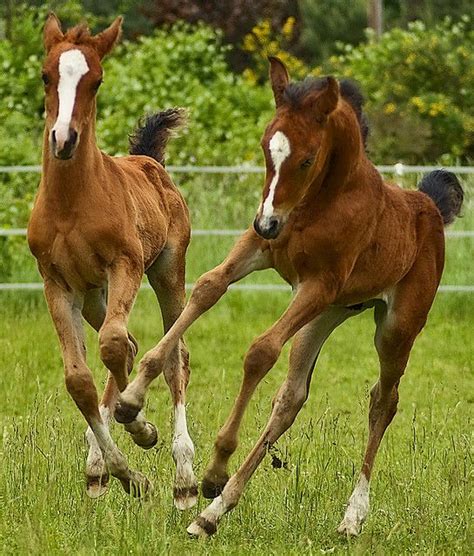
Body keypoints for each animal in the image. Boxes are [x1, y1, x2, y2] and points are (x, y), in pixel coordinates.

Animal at [26, 13, 197, 508]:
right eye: (45, 76)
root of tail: (149, 161)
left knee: (174, 355)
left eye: (96, 80)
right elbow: (80, 378)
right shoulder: (56, 284)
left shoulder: (126, 265)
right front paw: (126, 474)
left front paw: (139, 425)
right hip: (93, 295)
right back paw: (98, 465)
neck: (71, 204)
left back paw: (184, 477)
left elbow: (115, 346)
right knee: (133, 345)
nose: (64, 139)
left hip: (166, 272)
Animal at [115, 57, 462, 536]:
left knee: (383, 401)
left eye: (307, 158)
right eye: (267, 148)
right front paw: (130, 400)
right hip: (323, 317)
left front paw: (216, 463)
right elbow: (207, 289)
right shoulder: (255, 250)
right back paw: (212, 513)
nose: (268, 222)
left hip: (394, 327)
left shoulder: (319, 283)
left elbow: (260, 350)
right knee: (291, 398)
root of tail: (429, 206)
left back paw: (351, 516)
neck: (321, 204)